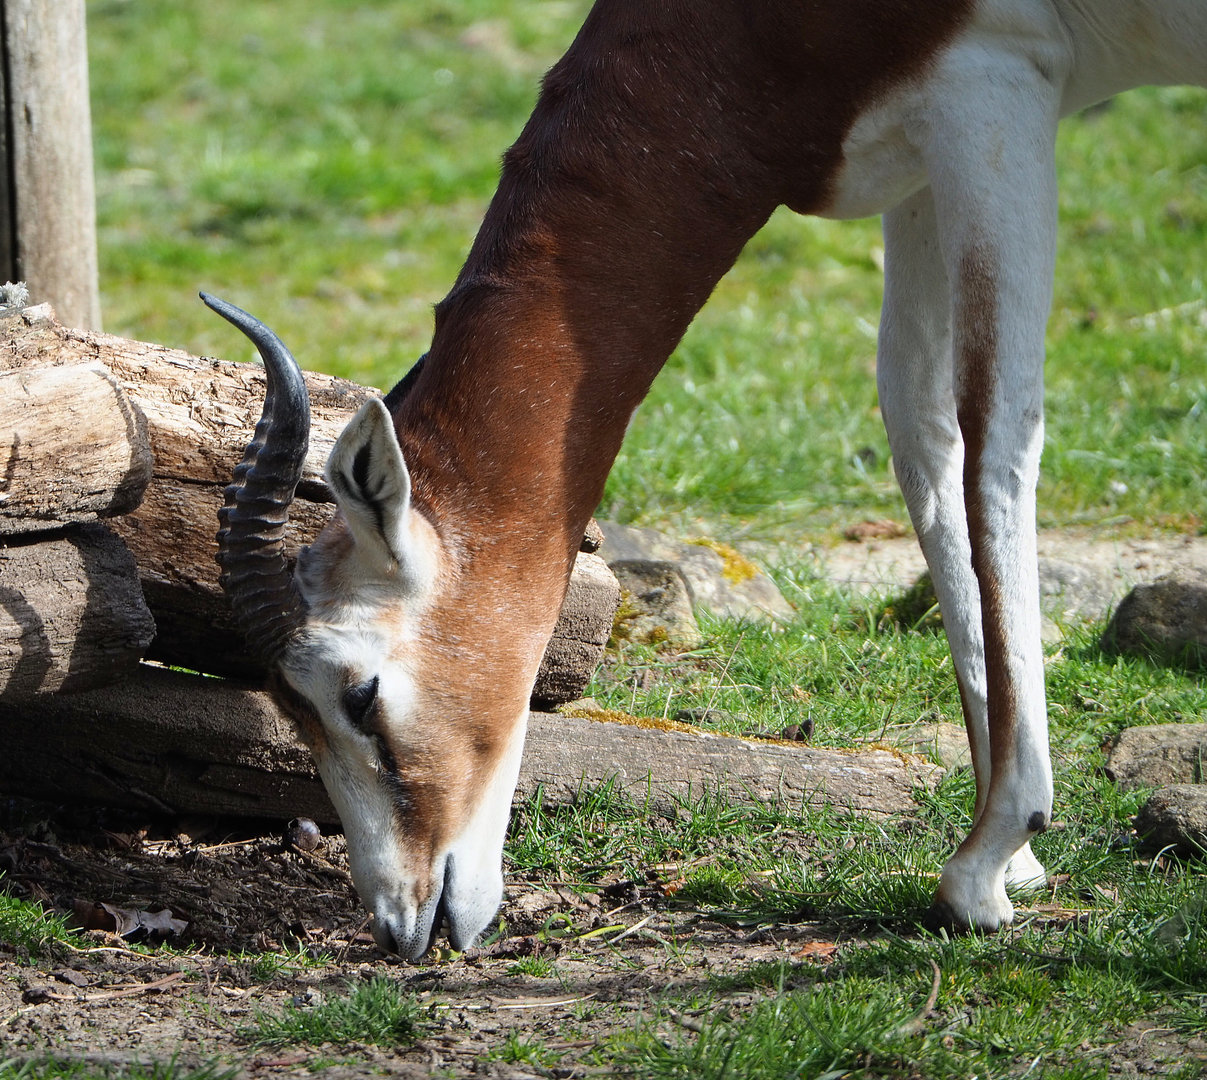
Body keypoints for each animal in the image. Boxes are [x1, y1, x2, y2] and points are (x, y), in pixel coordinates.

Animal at [205, 1, 1207, 958]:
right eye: (288, 710)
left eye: (358, 693)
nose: (397, 923)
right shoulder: (920, 158)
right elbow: (924, 441)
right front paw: (1014, 862)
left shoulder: (994, 91)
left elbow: (992, 434)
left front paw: (984, 861)